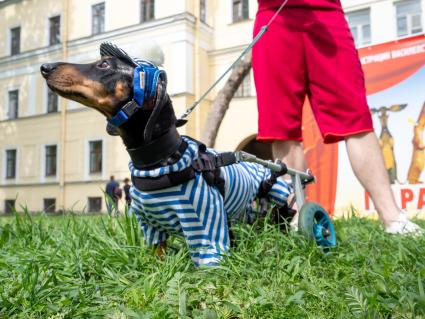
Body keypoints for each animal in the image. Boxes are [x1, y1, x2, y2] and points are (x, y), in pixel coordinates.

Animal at [40, 43, 292, 268]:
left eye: (104, 64)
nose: (45, 67)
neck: (157, 159)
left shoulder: (205, 228)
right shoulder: (150, 227)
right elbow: (156, 255)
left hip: (277, 204)